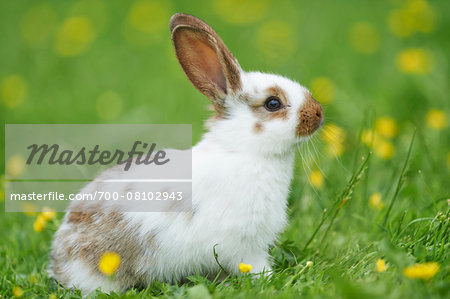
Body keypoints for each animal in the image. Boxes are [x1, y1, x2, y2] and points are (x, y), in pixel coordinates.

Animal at [49, 12, 324, 296]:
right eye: (273, 103)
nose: (318, 113)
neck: (242, 149)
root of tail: (59, 258)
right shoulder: (246, 246)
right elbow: (255, 266)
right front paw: (269, 279)